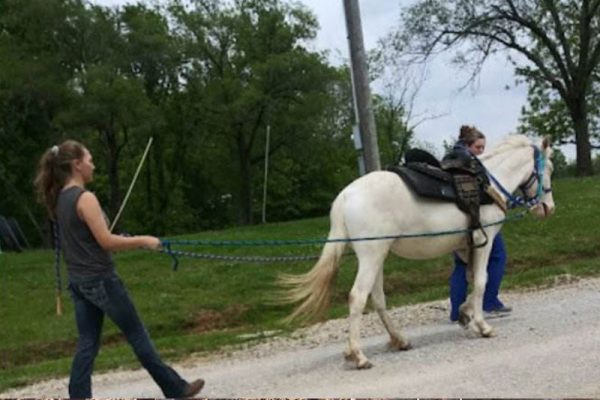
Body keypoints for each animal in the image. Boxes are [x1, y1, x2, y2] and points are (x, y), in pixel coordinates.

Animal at [278, 135, 556, 368]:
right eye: (550, 168)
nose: (548, 208)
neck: (486, 183)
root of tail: (345, 196)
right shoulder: (484, 241)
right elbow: (480, 280)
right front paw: (482, 326)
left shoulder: (465, 246)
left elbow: (467, 279)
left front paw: (465, 314)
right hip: (371, 255)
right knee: (358, 297)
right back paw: (358, 355)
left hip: (377, 256)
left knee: (377, 299)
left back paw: (398, 340)